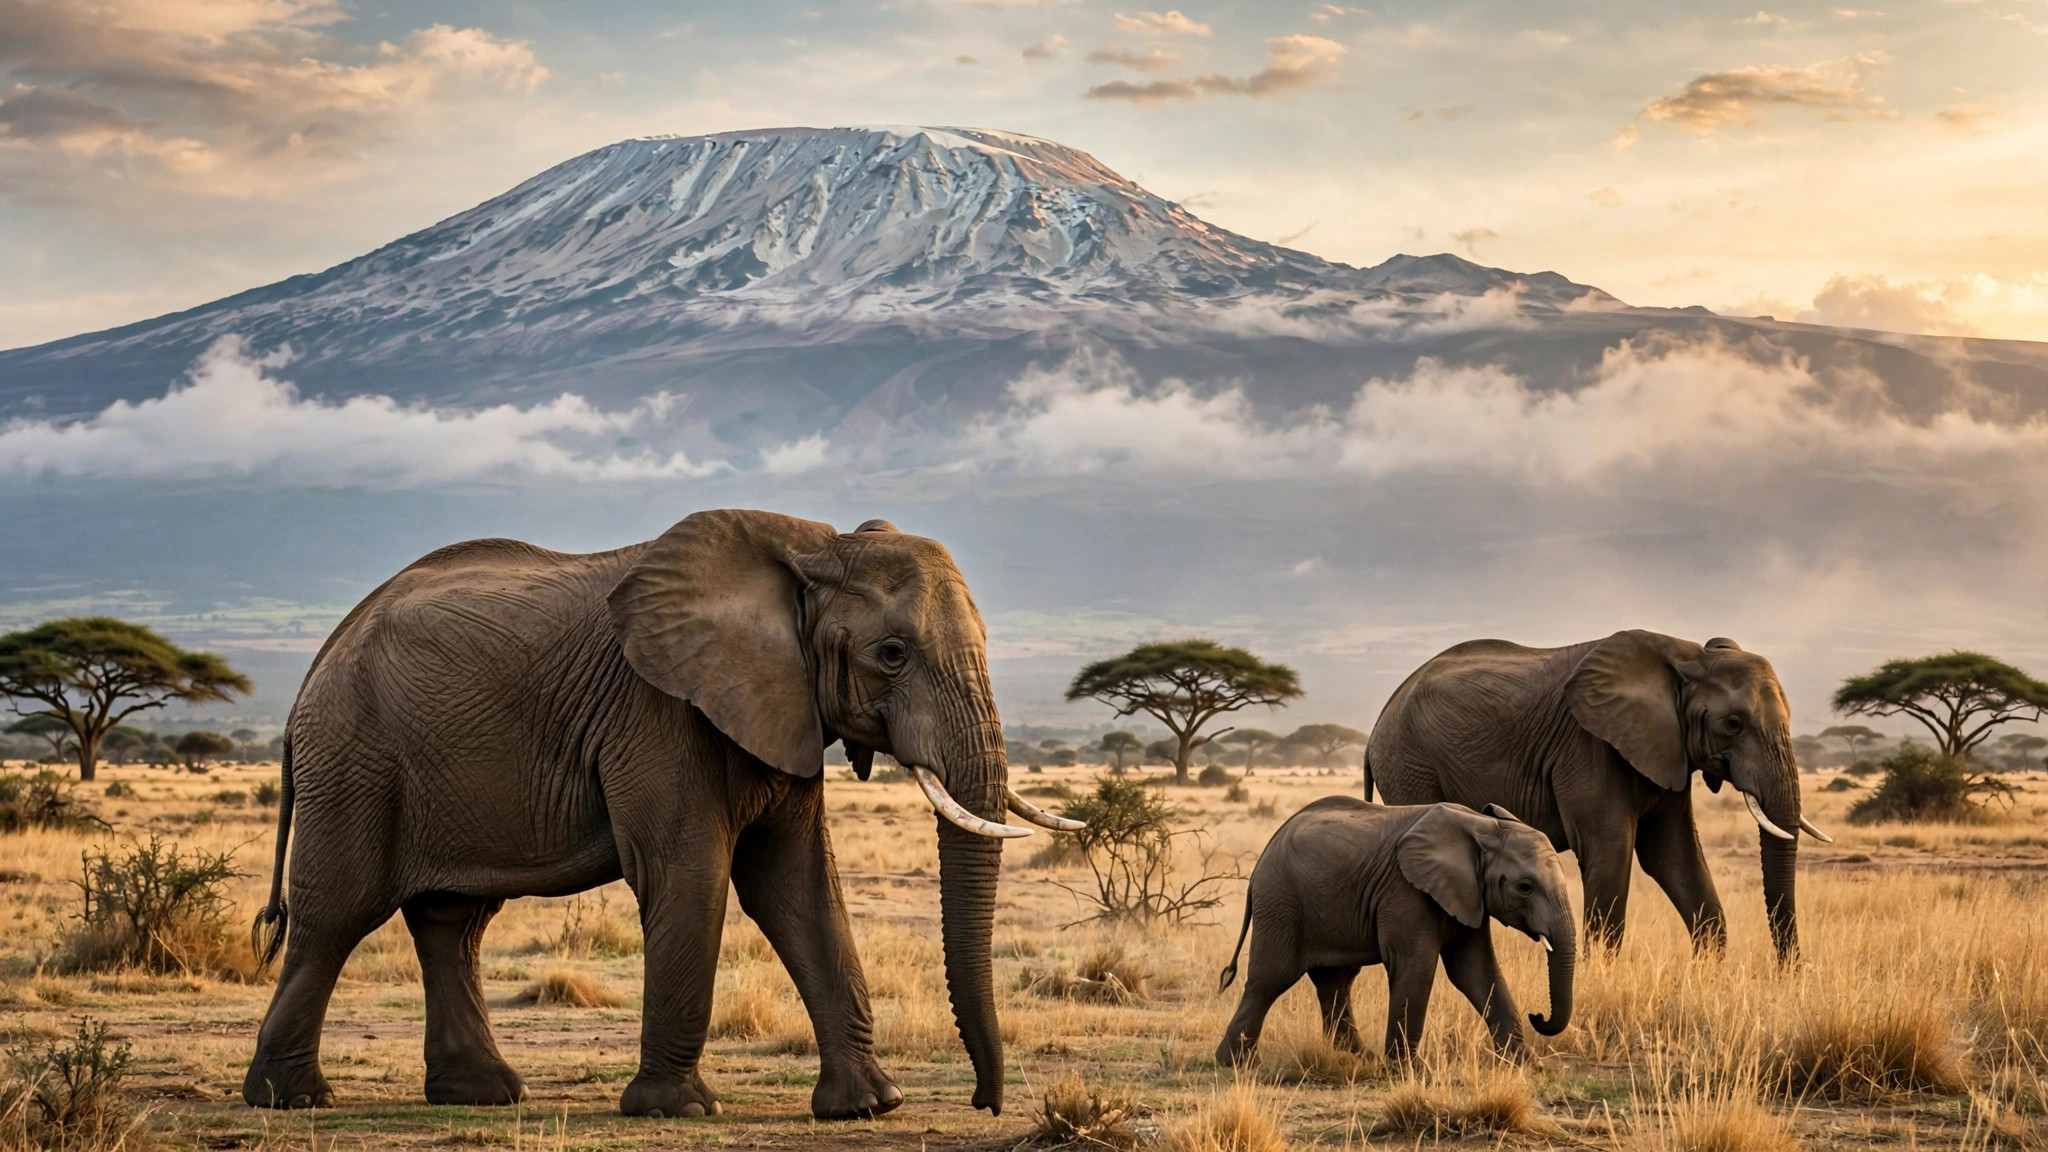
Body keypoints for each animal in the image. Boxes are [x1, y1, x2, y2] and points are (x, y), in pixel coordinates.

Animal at [242, 510, 1082, 1119]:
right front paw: (677, 1110)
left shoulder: (779, 705)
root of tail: (317, 661)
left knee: (454, 921)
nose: (984, 1103)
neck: (811, 546)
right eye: (893, 655)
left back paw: (481, 1095)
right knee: (335, 917)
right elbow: (692, 875)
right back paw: (291, 1100)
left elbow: (798, 888)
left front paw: (869, 1108)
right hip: (353, 758)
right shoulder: (656, 712)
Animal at [1214, 798, 1574, 1064]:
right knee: (1271, 979)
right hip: (1281, 901)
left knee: (1335, 980)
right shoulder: (1405, 890)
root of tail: (1264, 854)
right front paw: (1412, 1071)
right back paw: (1236, 1063)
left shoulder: (1467, 894)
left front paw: (1528, 1065)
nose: (1537, 1014)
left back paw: (1360, 1057)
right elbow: (1416, 966)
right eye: (1525, 887)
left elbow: (1475, 970)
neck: (1480, 827)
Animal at [1363, 631, 1830, 961]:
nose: (1790, 972)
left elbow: (1673, 854)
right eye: (1733, 724)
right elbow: (1611, 848)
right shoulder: (1588, 747)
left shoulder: (1666, 749)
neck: (1687, 655)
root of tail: (1377, 723)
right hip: (1409, 765)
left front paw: (1708, 975)